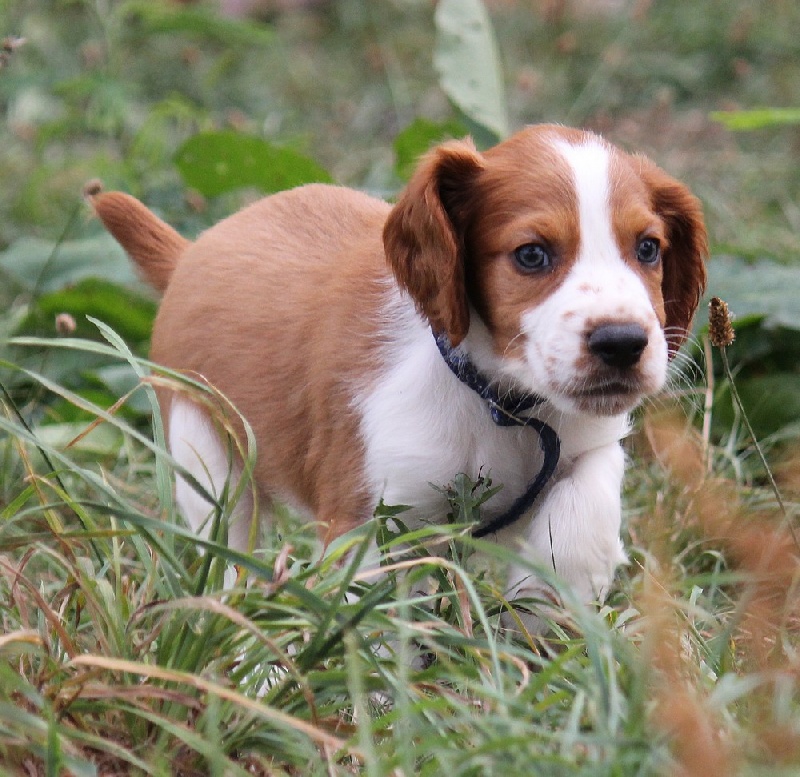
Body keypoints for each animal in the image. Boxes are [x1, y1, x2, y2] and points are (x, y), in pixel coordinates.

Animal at [90, 124, 707, 628]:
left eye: (648, 248)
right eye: (532, 255)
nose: (622, 343)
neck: (496, 400)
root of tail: (191, 252)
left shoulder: (588, 440)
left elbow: (584, 506)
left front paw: (547, 610)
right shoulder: (367, 513)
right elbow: (373, 616)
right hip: (206, 449)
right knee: (228, 558)